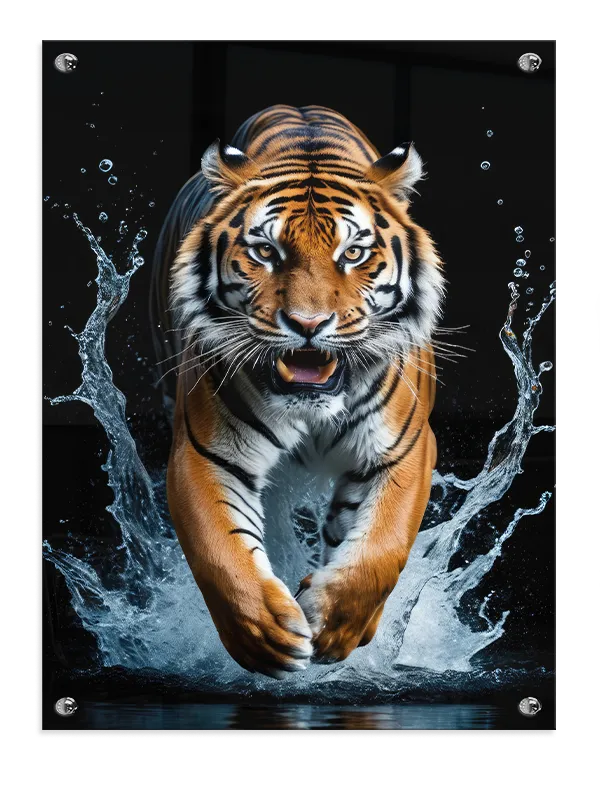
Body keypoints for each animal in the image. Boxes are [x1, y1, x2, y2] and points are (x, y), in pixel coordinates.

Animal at [150, 105, 444, 679]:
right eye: (266, 250)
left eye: (353, 252)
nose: (309, 324)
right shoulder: (203, 450)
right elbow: (219, 551)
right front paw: (266, 634)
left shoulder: (404, 449)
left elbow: (382, 547)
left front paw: (335, 625)